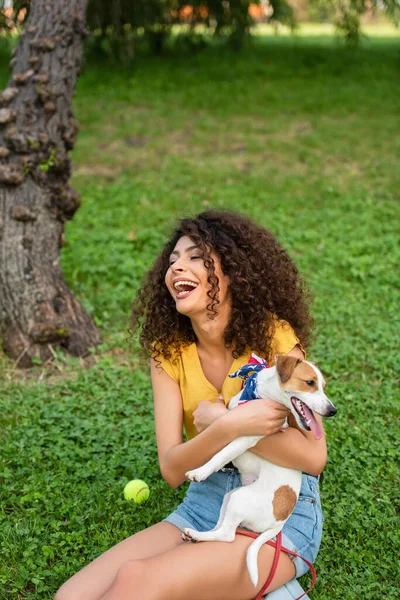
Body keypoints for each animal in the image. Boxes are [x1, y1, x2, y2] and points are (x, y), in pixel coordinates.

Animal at [183, 354, 336, 588]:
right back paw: (198, 535)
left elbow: (221, 454)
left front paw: (200, 472)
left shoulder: (247, 437)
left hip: (239, 499)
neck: (259, 395)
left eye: (323, 386)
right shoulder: (231, 421)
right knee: (221, 527)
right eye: (310, 383)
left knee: (228, 535)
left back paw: (198, 535)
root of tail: (278, 524)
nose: (332, 410)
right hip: (232, 496)